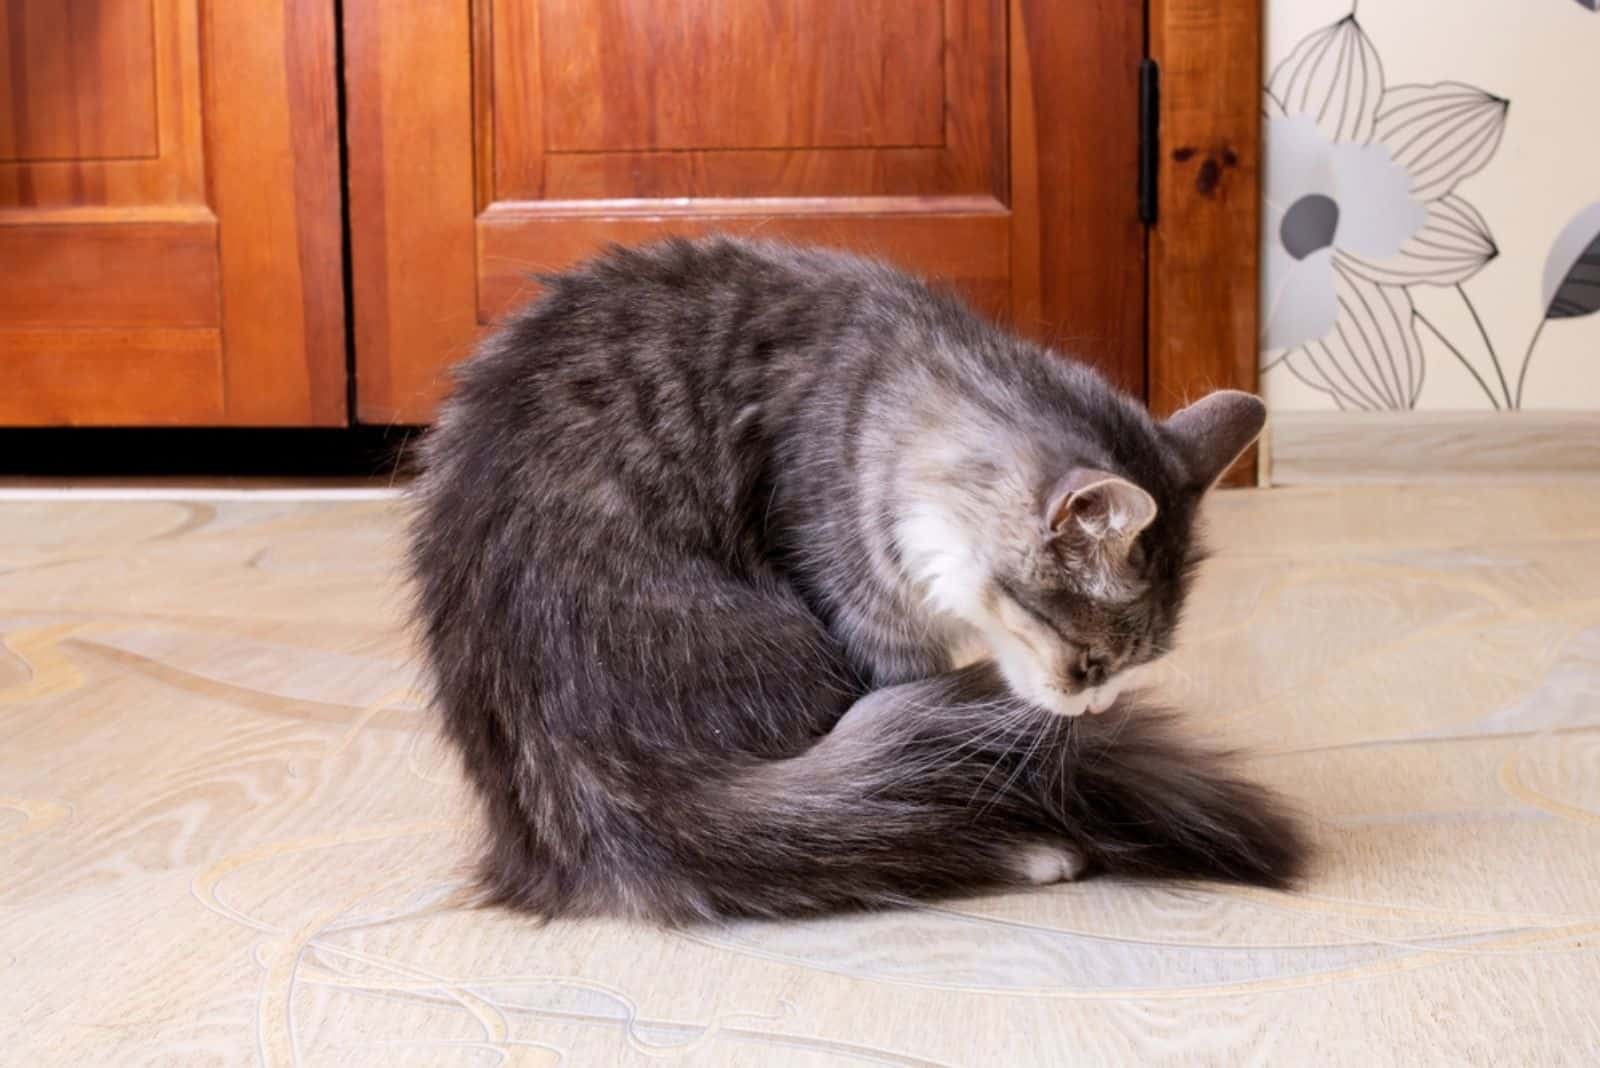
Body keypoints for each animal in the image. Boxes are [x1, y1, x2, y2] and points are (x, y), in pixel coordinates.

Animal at [409, 238, 1299, 920]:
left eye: (1135, 665)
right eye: (1091, 664)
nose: (1099, 708)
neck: (888, 384)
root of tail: (595, 778)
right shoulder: (876, 622)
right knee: (864, 830)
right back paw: (1041, 850)